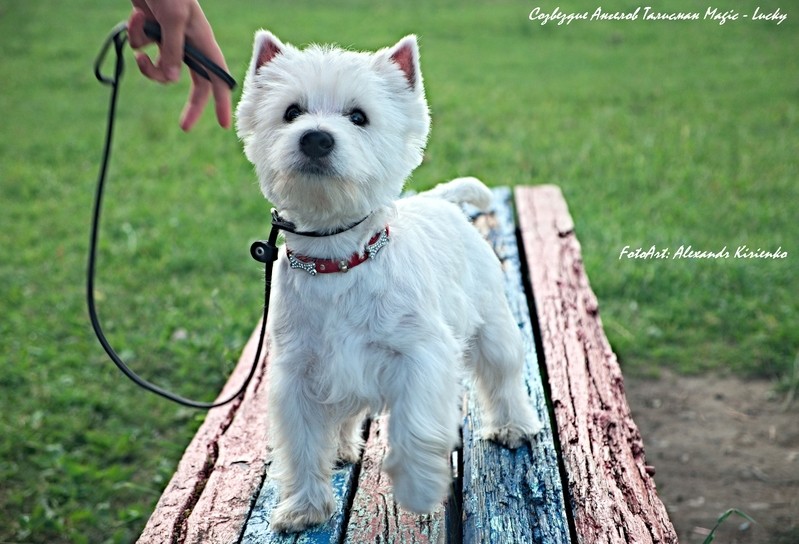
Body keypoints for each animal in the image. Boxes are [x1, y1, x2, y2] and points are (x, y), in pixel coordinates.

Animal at [234, 29, 540, 532]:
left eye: (359, 117)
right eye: (291, 112)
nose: (316, 139)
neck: (337, 261)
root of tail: (439, 199)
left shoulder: (420, 354)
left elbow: (415, 427)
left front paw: (418, 490)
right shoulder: (298, 371)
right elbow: (300, 444)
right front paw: (302, 508)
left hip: (491, 325)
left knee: (503, 375)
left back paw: (513, 426)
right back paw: (340, 449)